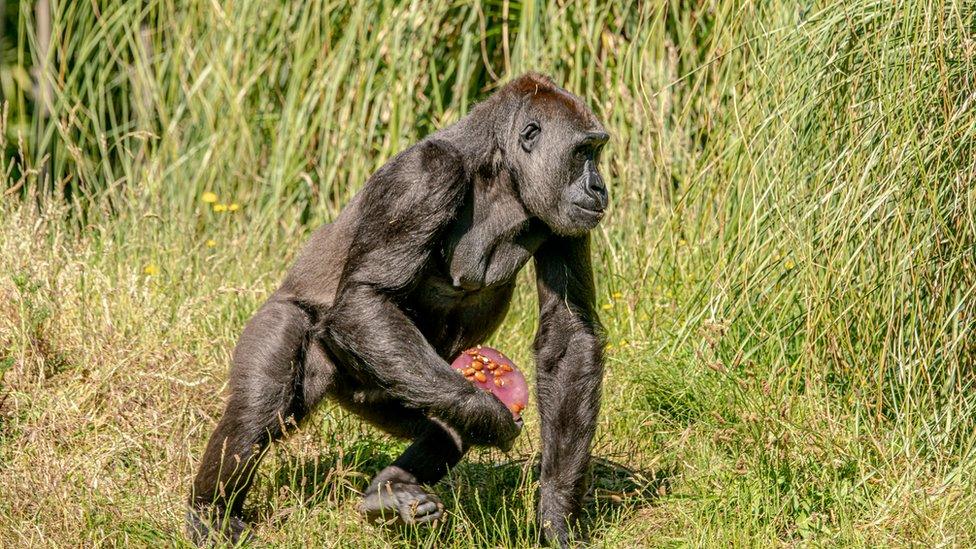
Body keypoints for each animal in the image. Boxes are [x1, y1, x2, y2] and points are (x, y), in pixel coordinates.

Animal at [189, 71, 608, 544]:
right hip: (294, 324)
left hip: (390, 388)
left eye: (595, 150)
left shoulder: (565, 218)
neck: (500, 171)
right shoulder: (424, 176)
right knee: (263, 405)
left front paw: (556, 509)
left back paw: (389, 494)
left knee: (446, 426)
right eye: (583, 153)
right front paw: (490, 413)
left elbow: (568, 336)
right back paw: (209, 512)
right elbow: (366, 297)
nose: (599, 187)